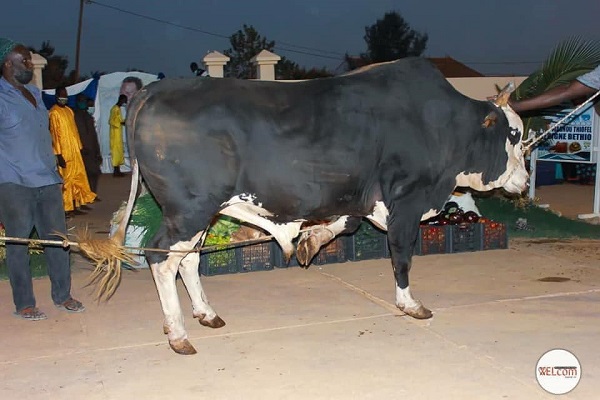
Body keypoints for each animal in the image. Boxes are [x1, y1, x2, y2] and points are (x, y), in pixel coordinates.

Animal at [115, 56, 528, 354]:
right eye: (514, 134)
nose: (524, 182)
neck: (441, 125)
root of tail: (155, 89)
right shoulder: (407, 202)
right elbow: (402, 257)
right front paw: (410, 304)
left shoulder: (360, 197)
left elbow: (347, 224)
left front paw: (310, 241)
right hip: (188, 210)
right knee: (162, 258)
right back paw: (178, 334)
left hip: (197, 213)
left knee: (187, 259)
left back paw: (206, 313)